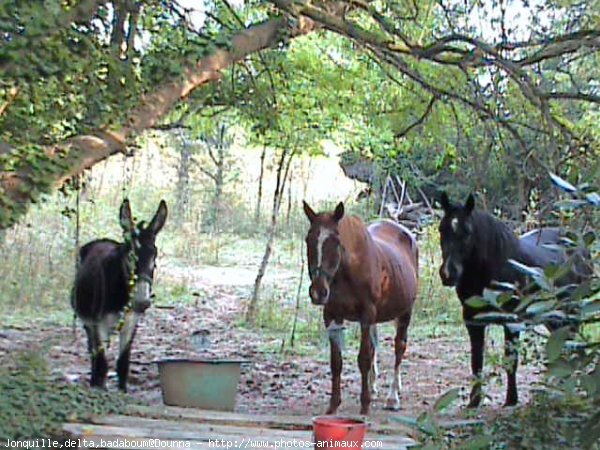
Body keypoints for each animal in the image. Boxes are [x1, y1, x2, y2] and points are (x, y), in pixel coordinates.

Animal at [302, 200, 420, 414]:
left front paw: (364, 404)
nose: (318, 292)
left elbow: (364, 358)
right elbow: (337, 361)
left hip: (405, 311)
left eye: (336, 241)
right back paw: (373, 387)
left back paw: (393, 397)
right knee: (375, 346)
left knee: (399, 348)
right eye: (309, 239)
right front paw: (334, 404)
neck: (346, 272)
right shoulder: (332, 315)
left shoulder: (367, 315)